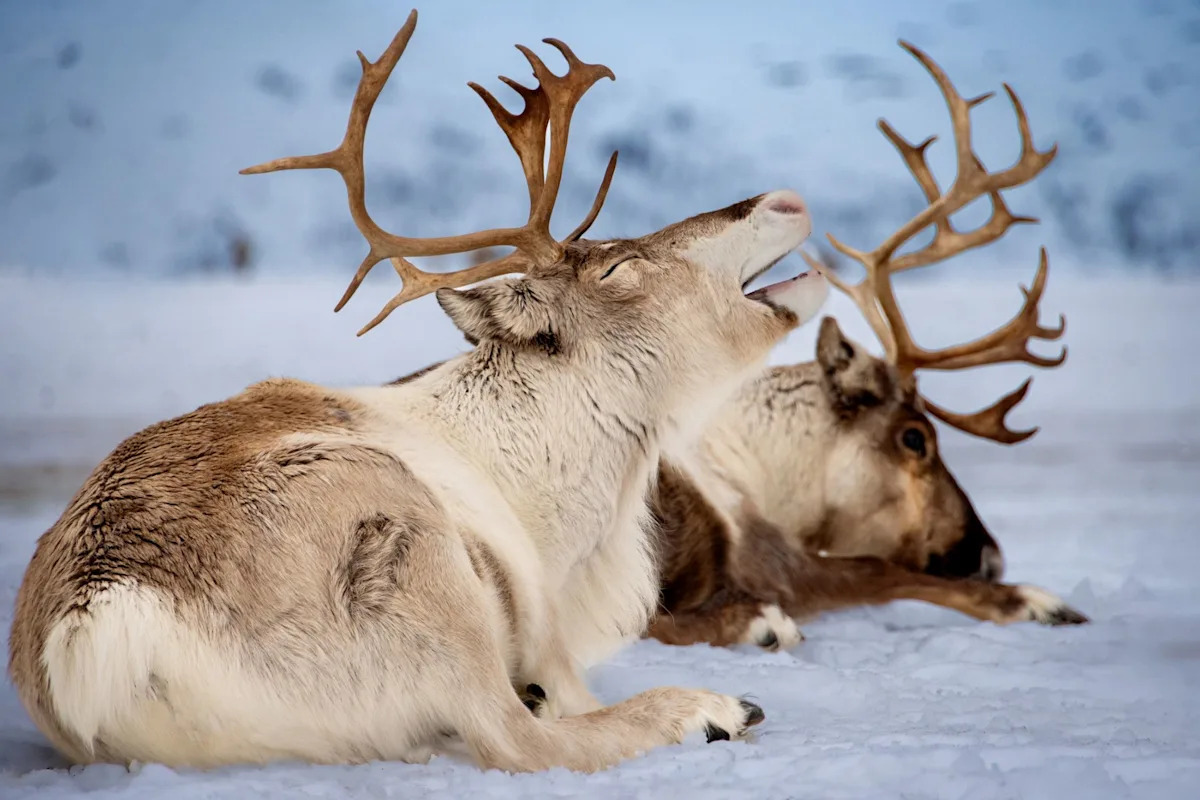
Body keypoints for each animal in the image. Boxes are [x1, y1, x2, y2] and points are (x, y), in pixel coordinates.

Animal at [6, 10, 834, 773]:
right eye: (614, 265)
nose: (784, 200)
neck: (568, 508)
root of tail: (97, 626)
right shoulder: (539, 630)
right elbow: (562, 699)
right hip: (407, 532)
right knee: (520, 739)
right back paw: (712, 708)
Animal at [644, 42, 1090, 650]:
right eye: (915, 438)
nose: (989, 557)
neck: (758, 468)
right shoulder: (775, 557)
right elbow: (882, 571)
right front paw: (1037, 601)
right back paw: (761, 624)